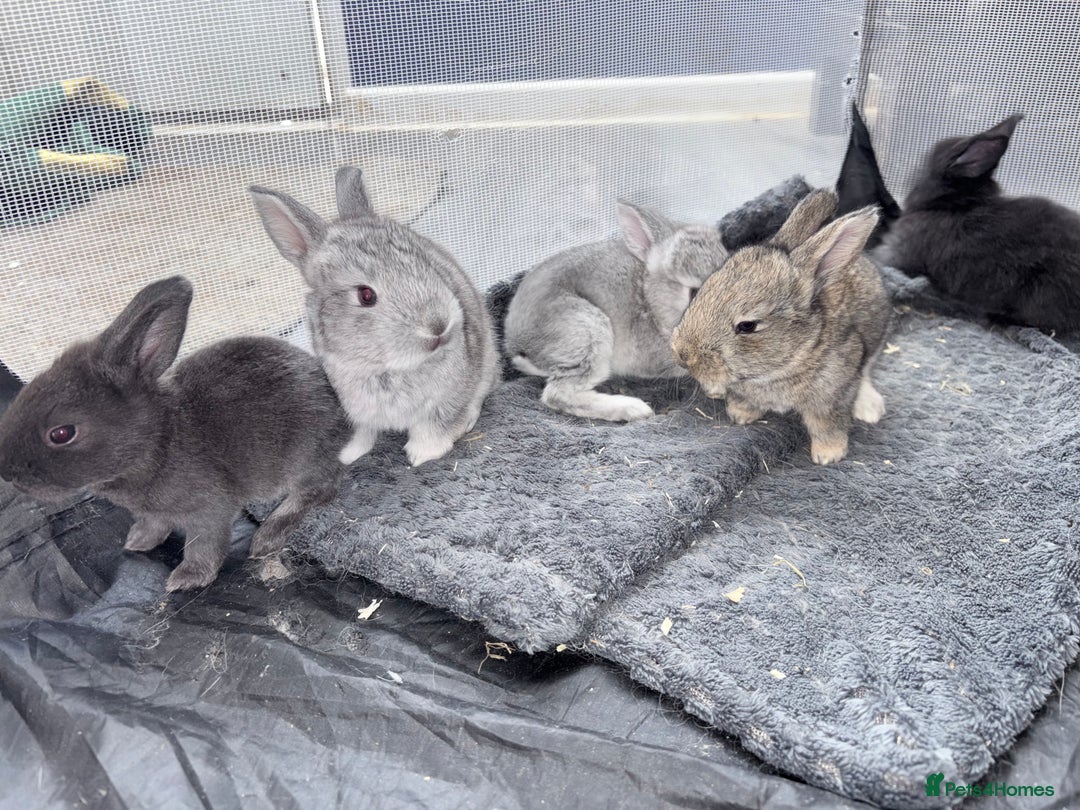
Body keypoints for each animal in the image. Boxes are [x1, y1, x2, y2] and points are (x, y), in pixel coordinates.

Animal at [0, 276, 351, 592]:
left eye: (61, 433)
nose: (7, 472)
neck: (157, 441)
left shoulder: (209, 511)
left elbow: (203, 544)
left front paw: (186, 579)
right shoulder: (156, 513)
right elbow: (155, 525)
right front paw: (137, 541)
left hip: (305, 458)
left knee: (320, 489)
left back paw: (266, 538)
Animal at [249, 167, 501, 468]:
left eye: (426, 264)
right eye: (366, 295)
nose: (438, 326)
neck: (386, 368)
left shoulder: (448, 398)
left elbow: (435, 426)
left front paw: (422, 455)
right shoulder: (354, 409)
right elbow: (363, 433)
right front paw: (348, 455)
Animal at [503, 200, 728, 422]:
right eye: (695, 293)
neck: (650, 300)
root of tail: (515, 344)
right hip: (587, 331)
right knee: (558, 393)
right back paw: (634, 409)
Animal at [671, 189, 891, 465]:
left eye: (747, 326)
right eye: (700, 291)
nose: (681, 353)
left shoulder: (832, 395)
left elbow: (826, 424)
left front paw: (828, 455)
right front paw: (740, 415)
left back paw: (869, 409)